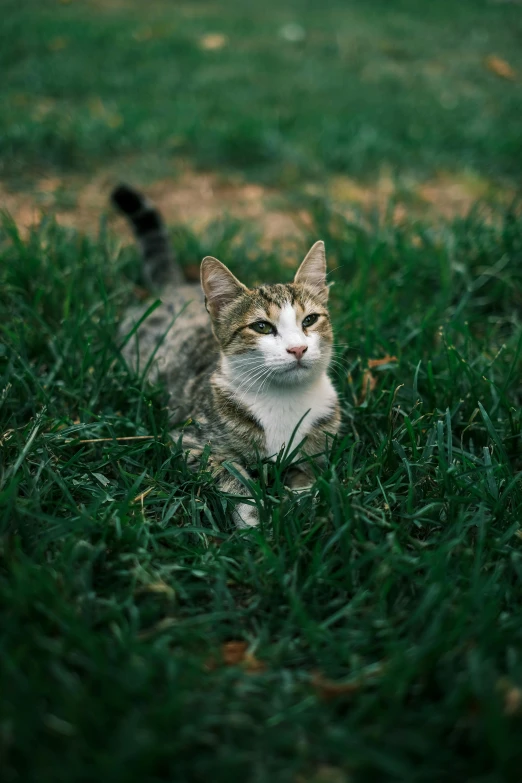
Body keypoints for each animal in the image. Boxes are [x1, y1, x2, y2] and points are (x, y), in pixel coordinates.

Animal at [111, 185, 340, 528]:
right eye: (261, 326)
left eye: (310, 320)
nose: (298, 349)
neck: (284, 399)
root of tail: (178, 288)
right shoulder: (190, 441)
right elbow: (229, 475)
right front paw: (253, 519)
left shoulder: (321, 445)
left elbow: (312, 480)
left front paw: (299, 504)